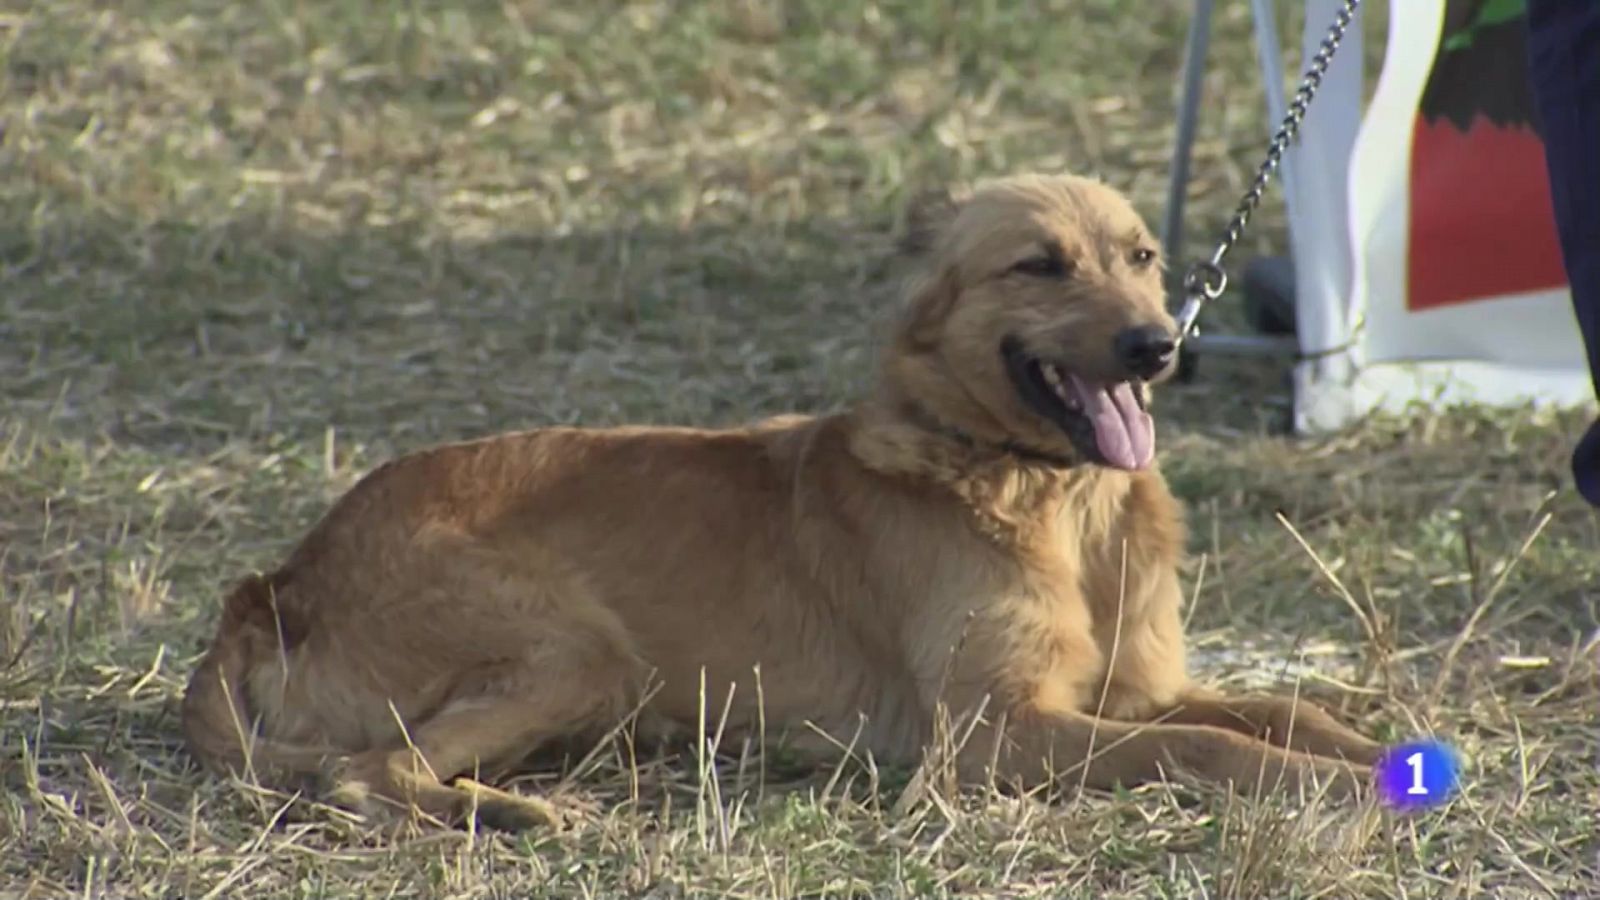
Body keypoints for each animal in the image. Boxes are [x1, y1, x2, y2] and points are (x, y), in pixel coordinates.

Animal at [187, 173, 1382, 826]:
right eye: (1039, 265)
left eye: (1140, 257)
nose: (1157, 345)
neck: (1038, 490)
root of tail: (275, 585)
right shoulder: (992, 735)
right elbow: (1213, 747)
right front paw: (1321, 787)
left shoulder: (1130, 694)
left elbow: (1281, 710)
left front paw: (1371, 754)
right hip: (578, 654)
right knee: (366, 772)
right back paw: (507, 816)